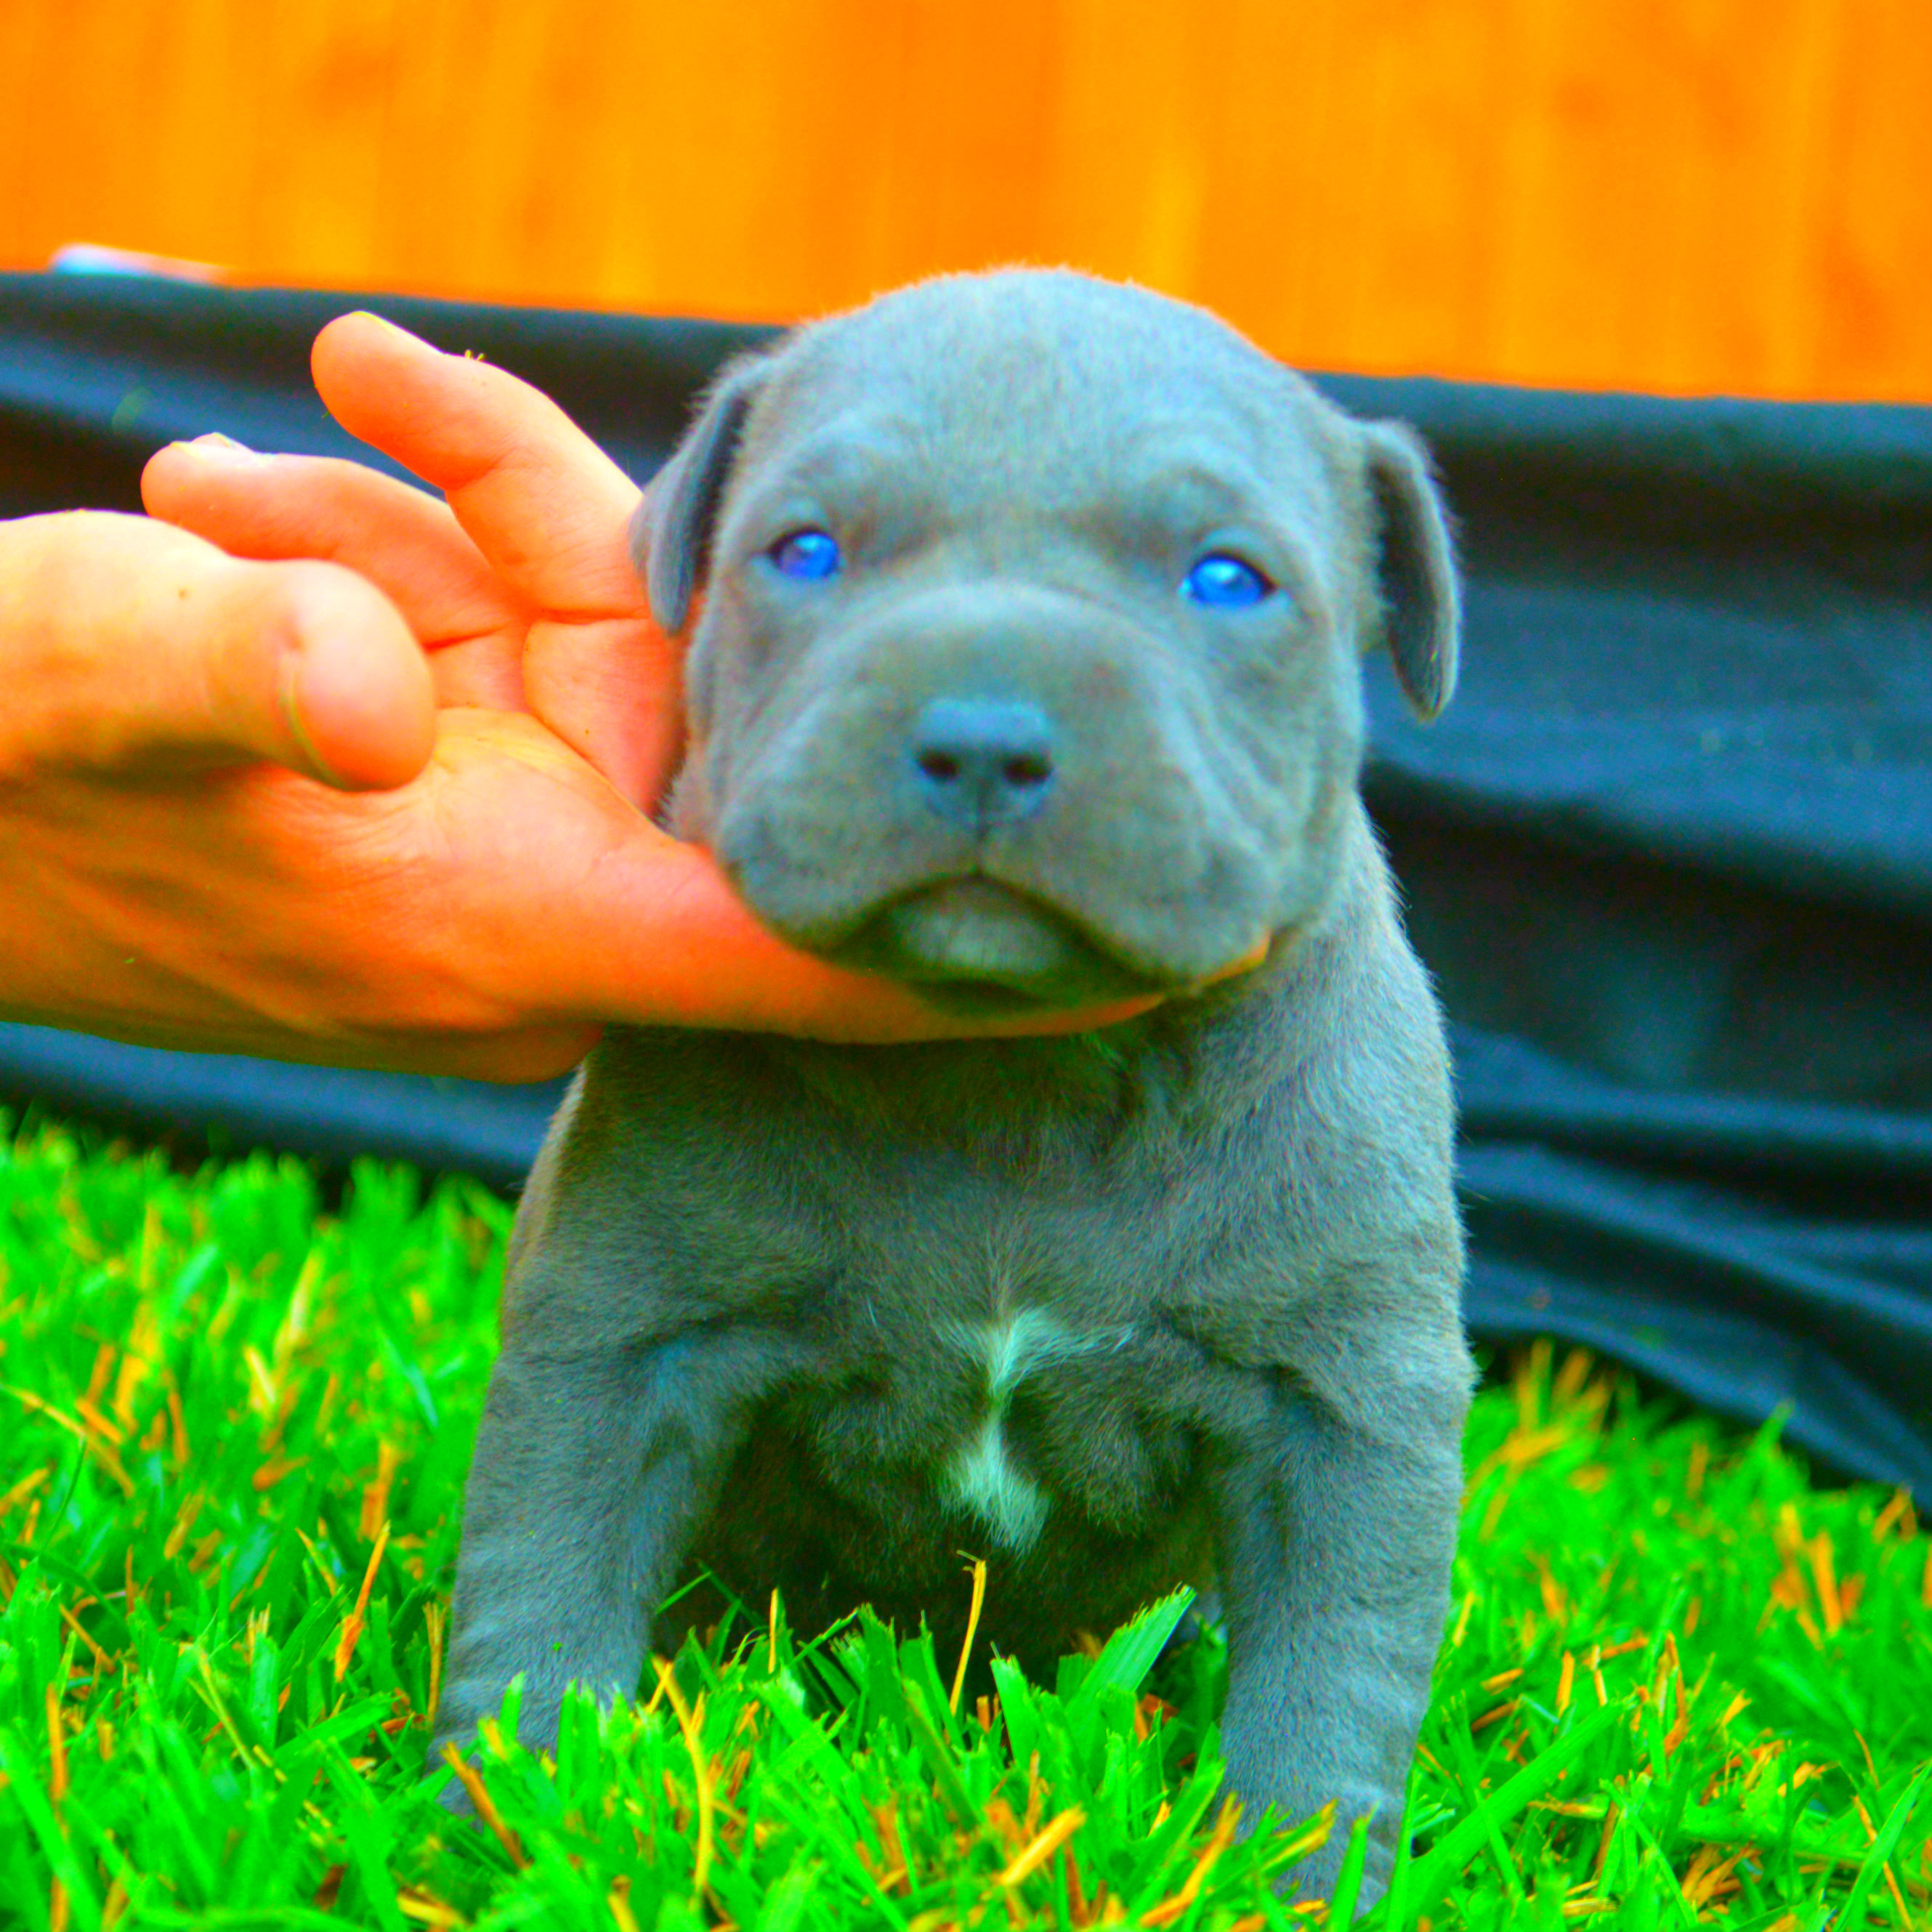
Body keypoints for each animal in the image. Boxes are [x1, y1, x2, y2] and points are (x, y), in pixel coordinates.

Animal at [435, 268, 1460, 1901]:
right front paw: (521, 1815)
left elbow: (1331, 1668)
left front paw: (1289, 1879)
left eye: (1226, 580)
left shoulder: (1345, 1404)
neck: (1017, 1076)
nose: (984, 733)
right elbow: (547, 1564)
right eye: (804, 550)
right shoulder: (622, 1334)